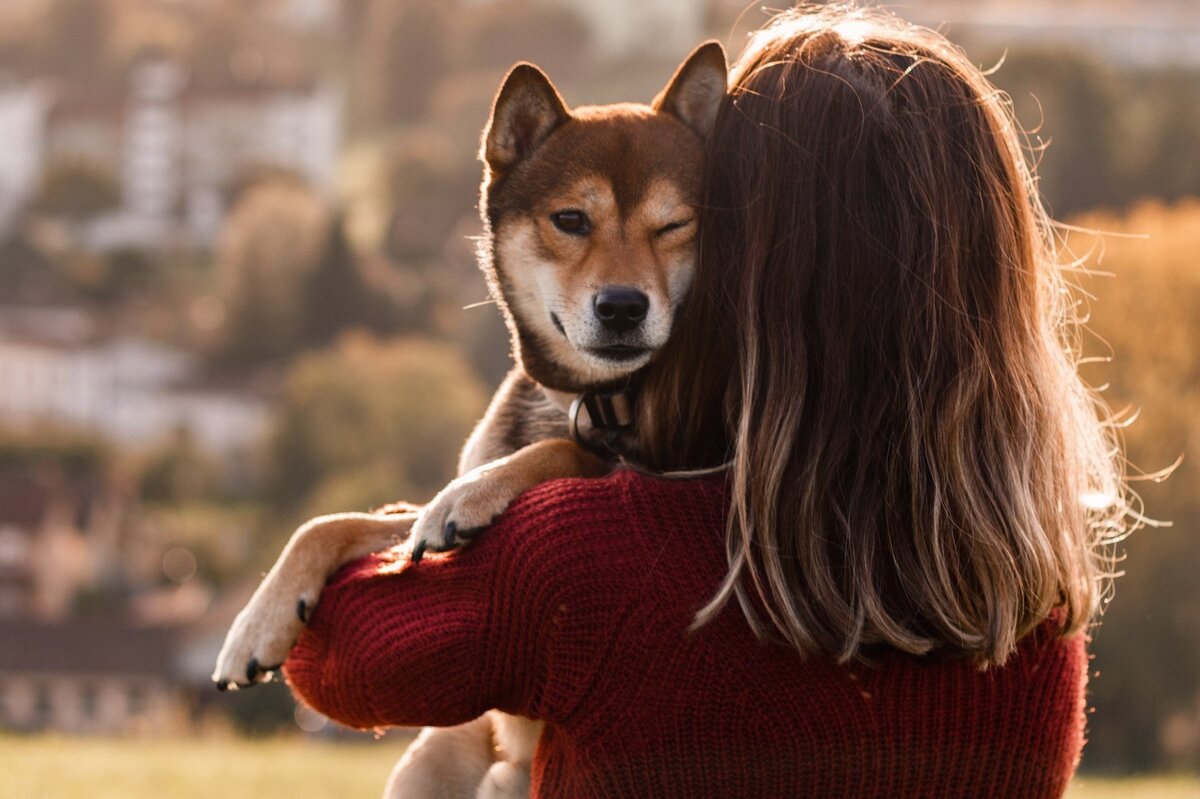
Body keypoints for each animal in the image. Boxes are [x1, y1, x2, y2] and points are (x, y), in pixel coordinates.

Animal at [212, 43, 724, 796]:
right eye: (571, 220)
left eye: (676, 225)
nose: (624, 307)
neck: (586, 399)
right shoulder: (410, 526)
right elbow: (332, 523)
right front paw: (256, 626)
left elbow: (558, 456)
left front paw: (477, 495)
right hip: (434, 756)